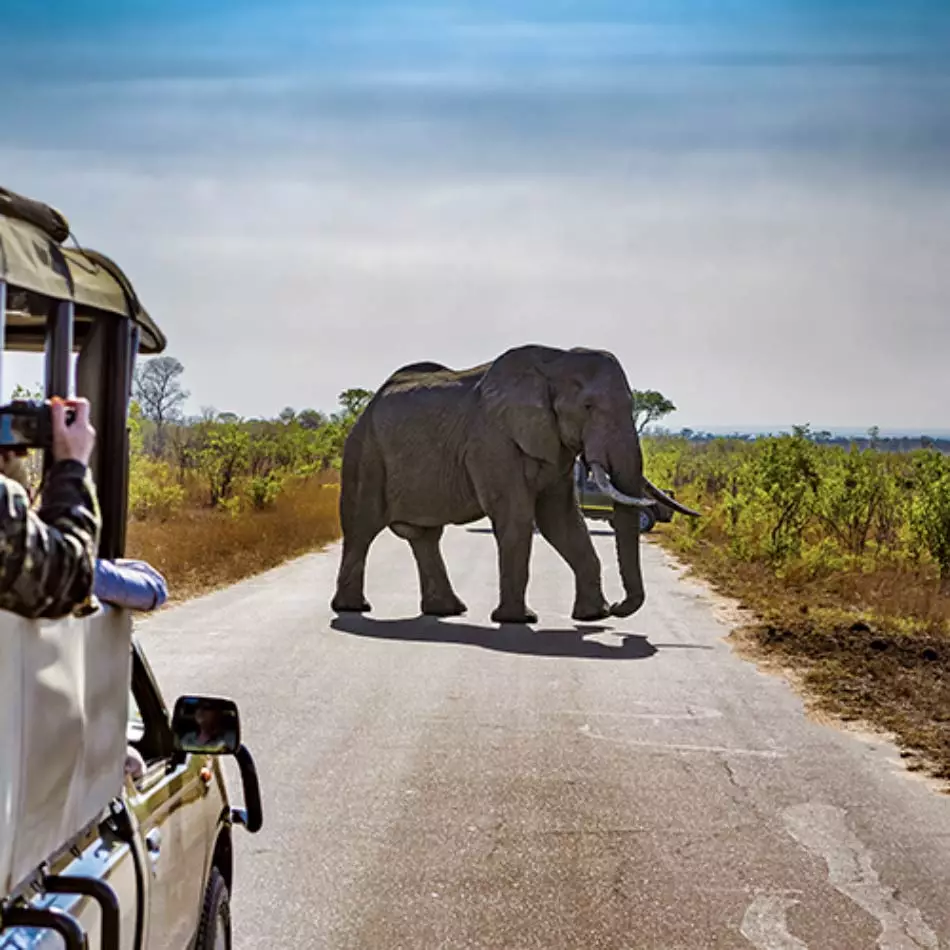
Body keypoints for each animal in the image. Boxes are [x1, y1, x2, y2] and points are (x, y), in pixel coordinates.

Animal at [330, 342, 704, 624]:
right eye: (587, 406)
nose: (619, 608)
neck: (556, 362)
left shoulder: (554, 448)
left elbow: (562, 520)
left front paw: (592, 617)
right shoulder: (493, 441)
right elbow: (517, 518)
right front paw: (519, 620)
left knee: (424, 536)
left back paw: (447, 611)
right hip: (364, 453)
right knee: (361, 528)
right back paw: (354, 608)